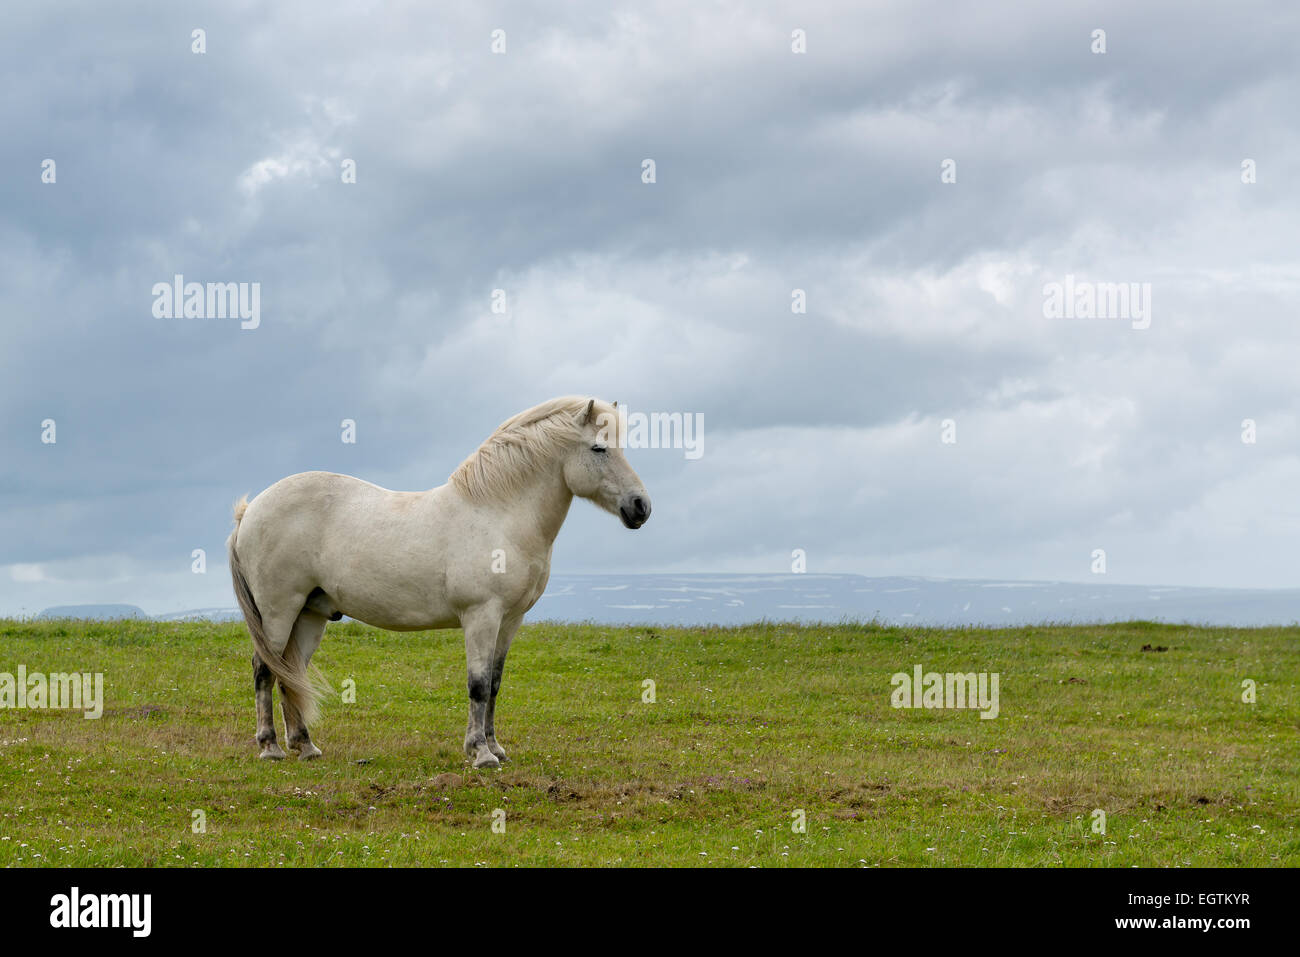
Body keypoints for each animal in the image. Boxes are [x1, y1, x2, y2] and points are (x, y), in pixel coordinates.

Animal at [226, 395, 650, 769]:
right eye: (599, 448)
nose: (640, 507)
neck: (498, 513)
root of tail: (251, 510)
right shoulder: (481, 617)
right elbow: (478, 685)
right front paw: (481, 753)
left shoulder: (510, 621)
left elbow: (495, 684)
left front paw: (496, 748)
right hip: (279, 611)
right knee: (265, 669)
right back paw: (270, 748)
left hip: (310, 614)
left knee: (291, 672)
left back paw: (306, 746)